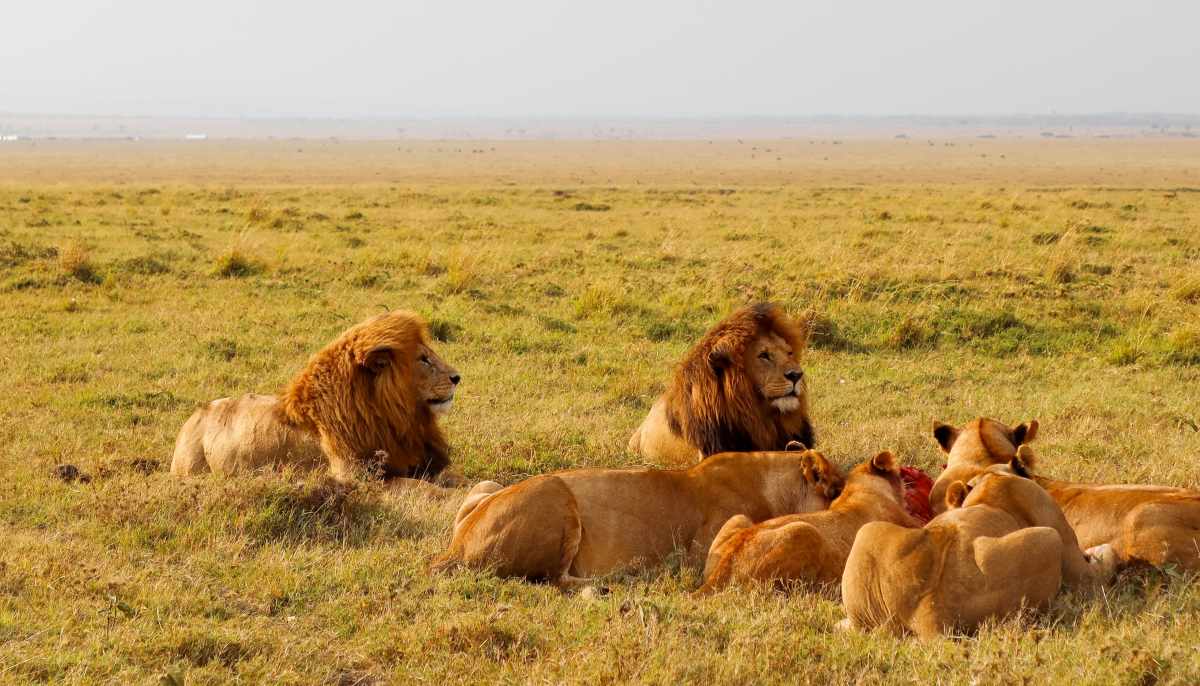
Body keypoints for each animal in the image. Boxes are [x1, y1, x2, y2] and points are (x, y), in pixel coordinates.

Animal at [170, 310, 461, 488]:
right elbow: (422, 488)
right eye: (423, 359)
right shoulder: (355, 476)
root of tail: (192, 417)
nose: (457, 377)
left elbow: (453, 479)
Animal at [429, 449, 845, 587]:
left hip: (486, 486)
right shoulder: (702, 556)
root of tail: (455, 546)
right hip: (555, 492)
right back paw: (619, 581)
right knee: (557, 580)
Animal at [840, 446, 1116, 639]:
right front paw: (1100, 552)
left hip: (867, 532)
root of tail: (929, 613)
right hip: (1048, 538)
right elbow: (1096, 569)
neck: (990, 478)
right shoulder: (1064, 540)